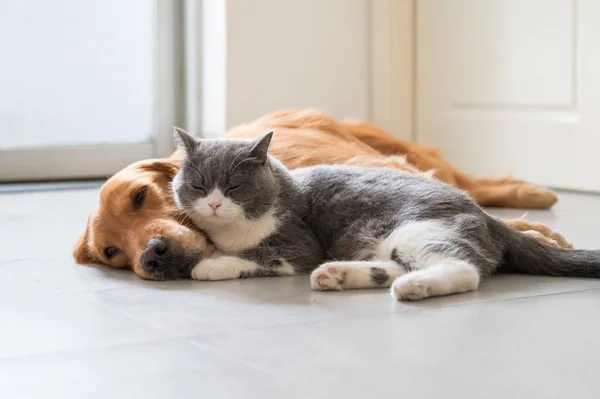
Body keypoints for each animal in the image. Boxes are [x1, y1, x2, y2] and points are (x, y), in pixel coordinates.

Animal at [171, 130, 600, 302]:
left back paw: (415, 287)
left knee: (464, 270)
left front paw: (212, 264)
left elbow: (262, 253)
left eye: (233, 187)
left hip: (417, 228)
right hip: (388, 242)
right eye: (199, 185)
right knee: (395, 265)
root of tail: (485, 214)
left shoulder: (299, 242)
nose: (213, 203)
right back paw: (337, 275)